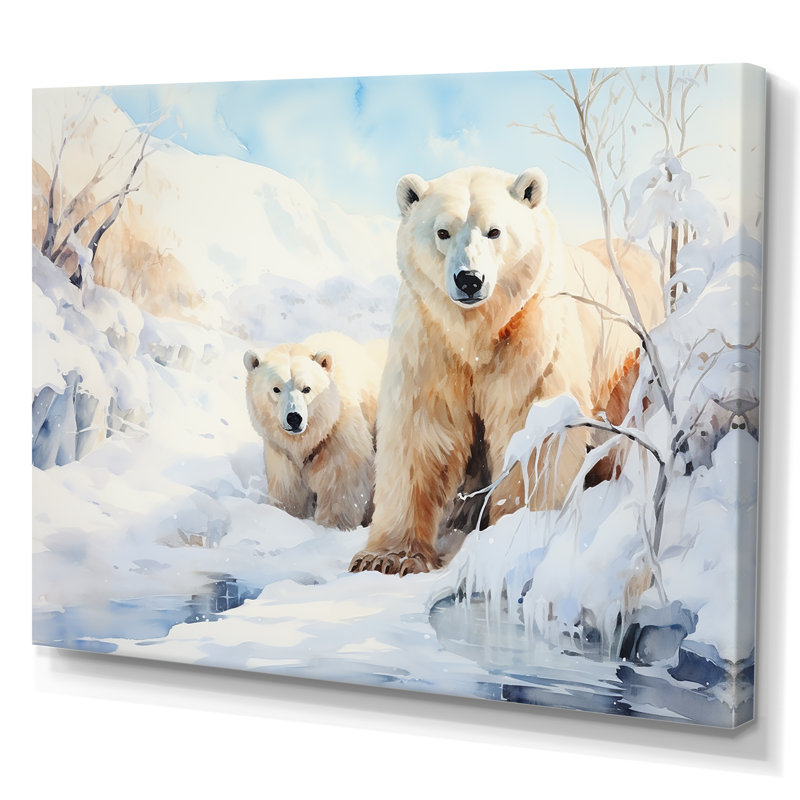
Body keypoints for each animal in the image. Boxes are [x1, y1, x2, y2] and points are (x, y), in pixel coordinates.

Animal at [244, 332, 385, 531]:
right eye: (276, 389)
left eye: (307, 388)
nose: (294, 417)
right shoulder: (283, 453)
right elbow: (288, 488)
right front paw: (287, 517)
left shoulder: (337, 438)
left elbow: (339, 486)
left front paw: (332, 526)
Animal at [349, 165, 664, 576]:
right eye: (442, 231)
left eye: (494, 231)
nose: (469, 279)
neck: (477, 332)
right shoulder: (431, 340)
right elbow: (421, 433)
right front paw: (386, 558)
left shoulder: (530, 332)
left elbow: (529, 428)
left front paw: (516, 532)